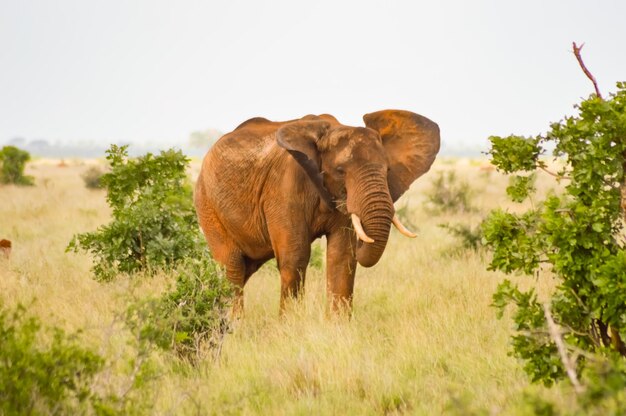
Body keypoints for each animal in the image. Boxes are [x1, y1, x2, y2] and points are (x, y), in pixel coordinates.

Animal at [194, 109, 438, 314]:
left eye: (387, 170)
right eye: (340, 171)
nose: (364, 242)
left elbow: (342, 257)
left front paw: (338, 328)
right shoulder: (284, 187)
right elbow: (295, 257)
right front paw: (290, 328)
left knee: (245, 269)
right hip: (207, 204)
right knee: (232, 267)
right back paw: (234, 327)